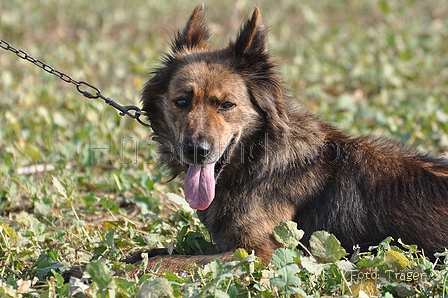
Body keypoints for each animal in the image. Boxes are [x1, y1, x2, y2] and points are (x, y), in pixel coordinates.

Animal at [136, 2, 448, 272]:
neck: (259, 160)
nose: (196, 151)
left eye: (226, 105)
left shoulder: (262, 253)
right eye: (181, 101)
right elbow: (156, 253)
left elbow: (166, 261)